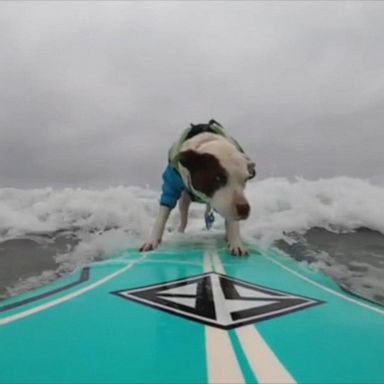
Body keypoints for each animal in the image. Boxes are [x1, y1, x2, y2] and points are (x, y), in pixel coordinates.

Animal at [140, 120, 255, 256]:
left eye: (245, 179)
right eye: (218, 178)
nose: (244, 209)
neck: (207, 140)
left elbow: (232, 222)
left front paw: (236, 242)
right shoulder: (171, 184)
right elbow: (162, 216)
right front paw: (152, 241)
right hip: (185, 200)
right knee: (184, 217)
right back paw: (180, 232)